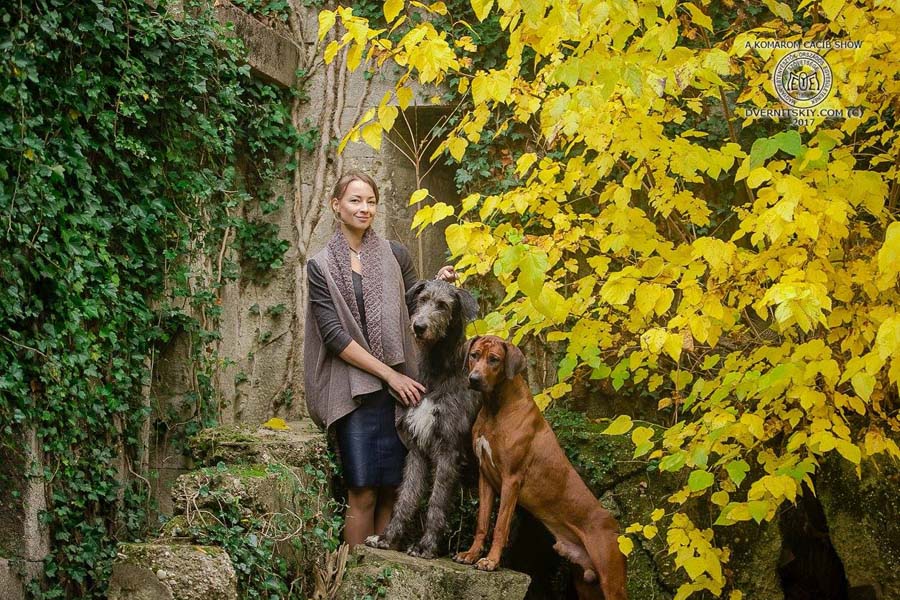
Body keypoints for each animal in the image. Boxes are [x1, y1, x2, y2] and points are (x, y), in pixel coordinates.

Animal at [454, 336, 628, 596]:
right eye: (474, 355)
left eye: (494, 359)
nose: (474, 379)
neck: (497, 407)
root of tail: (616, 527)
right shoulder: (485, 478)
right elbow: (482, 523)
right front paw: (471, 554)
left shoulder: (511, 479)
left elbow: (500, 527)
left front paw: (491, 561)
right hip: (586, 583)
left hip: (611, 578)